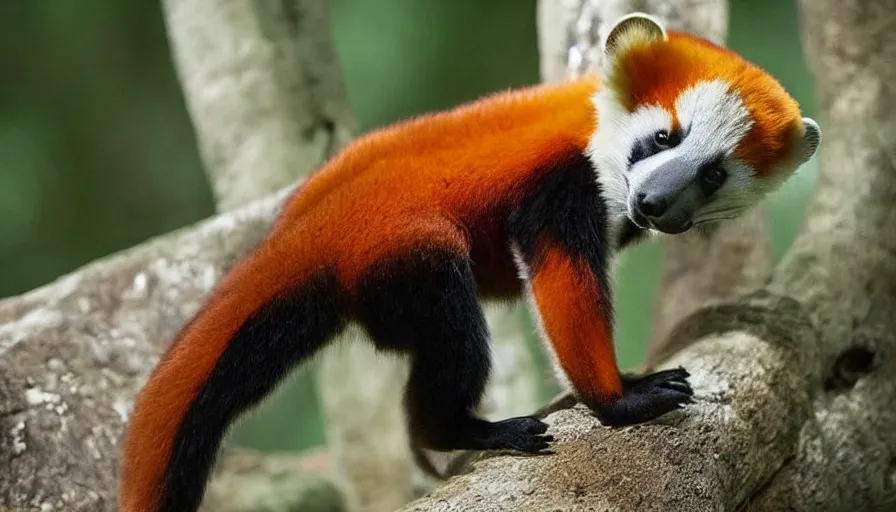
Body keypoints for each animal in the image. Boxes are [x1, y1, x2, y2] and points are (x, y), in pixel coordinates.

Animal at [117, 12, 820, 512]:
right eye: (664, 136)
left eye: (715, 174)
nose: (655, 203)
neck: (596, 122)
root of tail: (308, 235)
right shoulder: (561, 185)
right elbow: (563, 279)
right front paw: (618, 398)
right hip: (406, 258)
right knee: (452, 329)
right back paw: (457, 432)